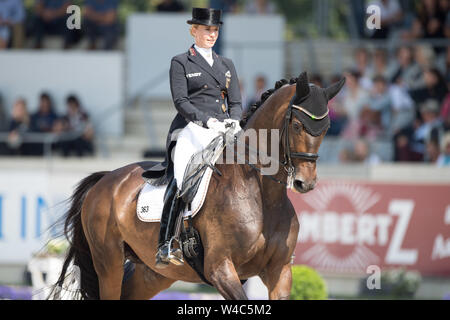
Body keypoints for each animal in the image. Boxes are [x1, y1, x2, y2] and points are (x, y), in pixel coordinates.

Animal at [51, 72, 344, 300]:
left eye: (327, 128)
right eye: (296, 125)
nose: (305, 182)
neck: (263, 196)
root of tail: (106, 180)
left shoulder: (279, 271)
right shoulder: (220, 269)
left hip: (153, 273)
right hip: (108, 263)